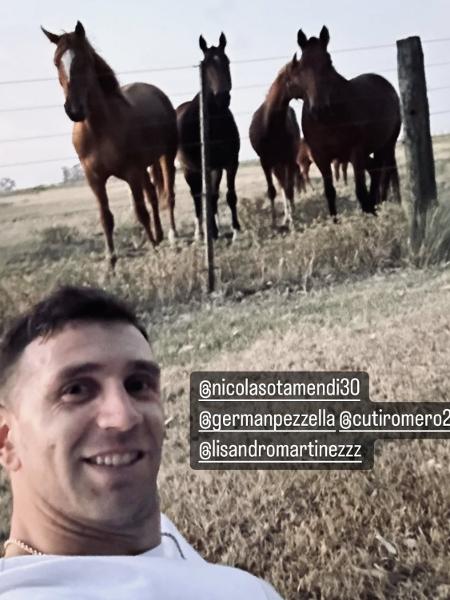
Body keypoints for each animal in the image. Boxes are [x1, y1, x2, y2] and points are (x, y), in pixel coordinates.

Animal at [40, 21, 178, 268]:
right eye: (56, 62)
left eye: (84, 60)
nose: (74, 110)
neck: (98, 129)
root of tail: (157, 93)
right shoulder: (94, 179)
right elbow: (106, 218)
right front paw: (111, 263)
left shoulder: (131, 173)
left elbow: (140, 211)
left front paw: (153, 249)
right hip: (144, 167)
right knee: (153, 195)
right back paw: (160, 235)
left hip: (166, 157)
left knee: (168, 195)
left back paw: (171, 237)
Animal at [176, 34, 241, 240]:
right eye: (205, 65)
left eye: (227, 61)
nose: (222, 97)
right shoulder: (202, 167)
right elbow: (205, 197)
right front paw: (210, 232)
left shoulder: (230, 163)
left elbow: (229, 196)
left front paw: (236, 230)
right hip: (189, 170)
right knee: (197, 197)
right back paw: (200, 232)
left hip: (215, 169)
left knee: (213, 195)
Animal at [248, 65, 304, 229]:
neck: (270, 125)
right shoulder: (265, 162)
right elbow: (272, 191)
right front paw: (273, 222)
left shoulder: (288, 160)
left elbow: (289, 189)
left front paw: (292, 222)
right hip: (275, 165)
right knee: (281, 185)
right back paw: (285, 218)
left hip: (284, 163)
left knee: (287, 186)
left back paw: (291, 215)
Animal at [284, 27, 402, 218]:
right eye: (301, 66)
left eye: (329, 61)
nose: (319, 109)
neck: (329, 121)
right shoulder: (321, 157)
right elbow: (330, 192)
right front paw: (335, 221)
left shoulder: (355, 152)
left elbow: (360, 191)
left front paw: (369, 214)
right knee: (375, 169)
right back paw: (377, 203)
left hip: (387, 145)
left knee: (385, 171)